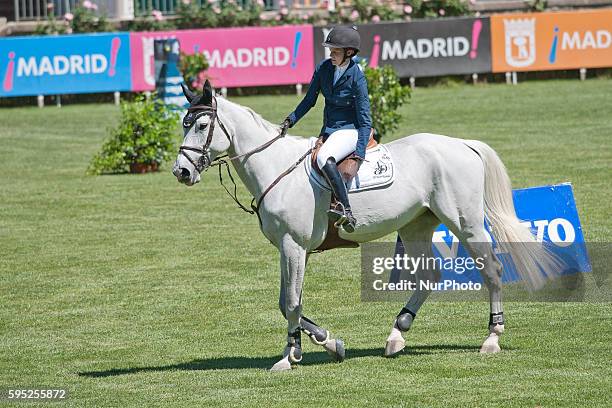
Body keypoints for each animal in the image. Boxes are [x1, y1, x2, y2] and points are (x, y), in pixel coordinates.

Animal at [173, 81, 560, 372]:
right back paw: (397, 335)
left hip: (465, 224)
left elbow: (292, 303)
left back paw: (491, 338)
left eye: (202, 126)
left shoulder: (294, 245)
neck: (275, 166)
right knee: (428, 276)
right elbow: (286, 302)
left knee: (491, 269)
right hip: (417, 224)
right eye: (183, 124)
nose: (181, 171)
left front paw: (290, 356)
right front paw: (329, 342)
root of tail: (463, 144)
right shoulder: (290, 248)